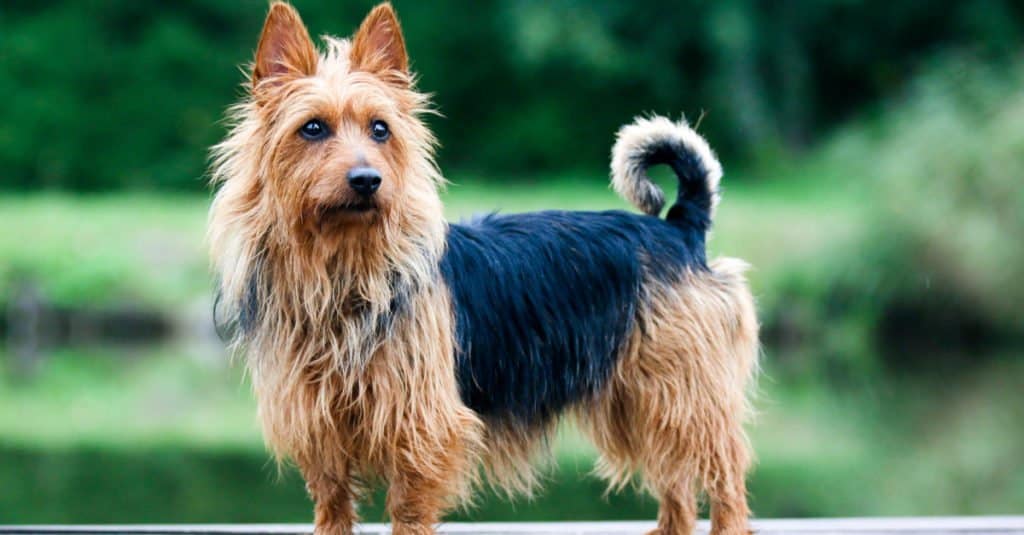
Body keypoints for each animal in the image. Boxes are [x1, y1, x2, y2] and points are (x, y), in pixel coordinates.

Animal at [207, 2, 757, 528]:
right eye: (312, 128)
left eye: (381, 130)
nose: (367, 180)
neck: (343, 270)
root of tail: (678, 228)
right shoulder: (319, 427)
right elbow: (333, 507)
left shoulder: (422, 427)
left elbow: (408, 510)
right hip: (639, 401)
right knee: (677, 483)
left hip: (682, 393)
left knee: (724, 473)